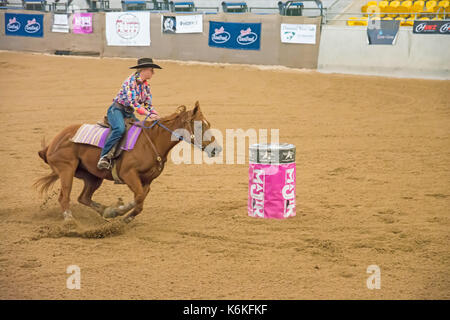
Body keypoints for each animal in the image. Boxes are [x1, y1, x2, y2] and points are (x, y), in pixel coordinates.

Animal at [33, 102, 221, 222]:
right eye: (200, 125)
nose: (216, 149)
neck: (151, 141)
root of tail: (53, 142)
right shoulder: (128, 174)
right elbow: (138, 198)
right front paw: (119, 210)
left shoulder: (147, 180)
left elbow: (140, 201)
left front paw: (122, 216)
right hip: (66, 170)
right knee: (64, 197)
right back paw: (70, 221)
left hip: (92, 177)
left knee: (84, 198)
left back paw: (105, 212)